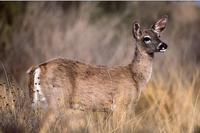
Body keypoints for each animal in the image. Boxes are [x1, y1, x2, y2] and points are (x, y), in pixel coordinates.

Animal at [26, 16, 167, 112]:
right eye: (146, 38)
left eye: (159, 35)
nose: (164, 45)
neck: (135, 76)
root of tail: (38, 68)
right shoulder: (121, 104)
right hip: (57, 99)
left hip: (37, 103)